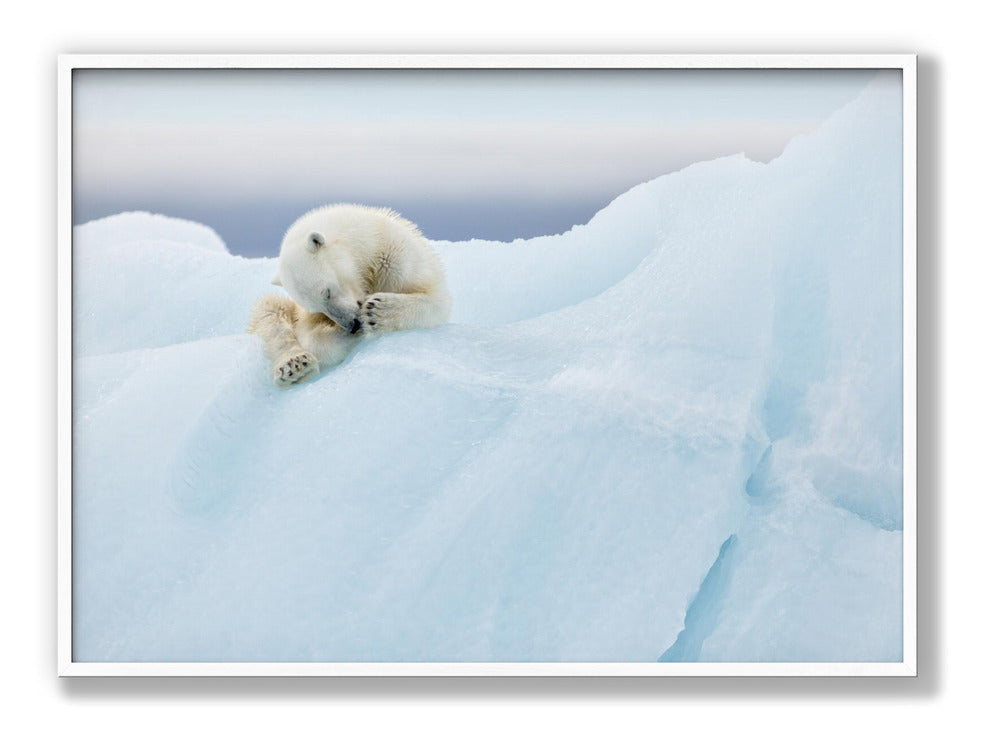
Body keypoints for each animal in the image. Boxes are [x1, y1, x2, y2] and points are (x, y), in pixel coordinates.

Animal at [248, 203, 452, 386]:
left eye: (327, 292)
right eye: (317, 308)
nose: (352, 325)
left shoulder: (398, 259)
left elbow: (436, 300)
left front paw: (376, 311)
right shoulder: (304, 314)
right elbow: (310, 334)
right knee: (269, 309)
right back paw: (295, 365)